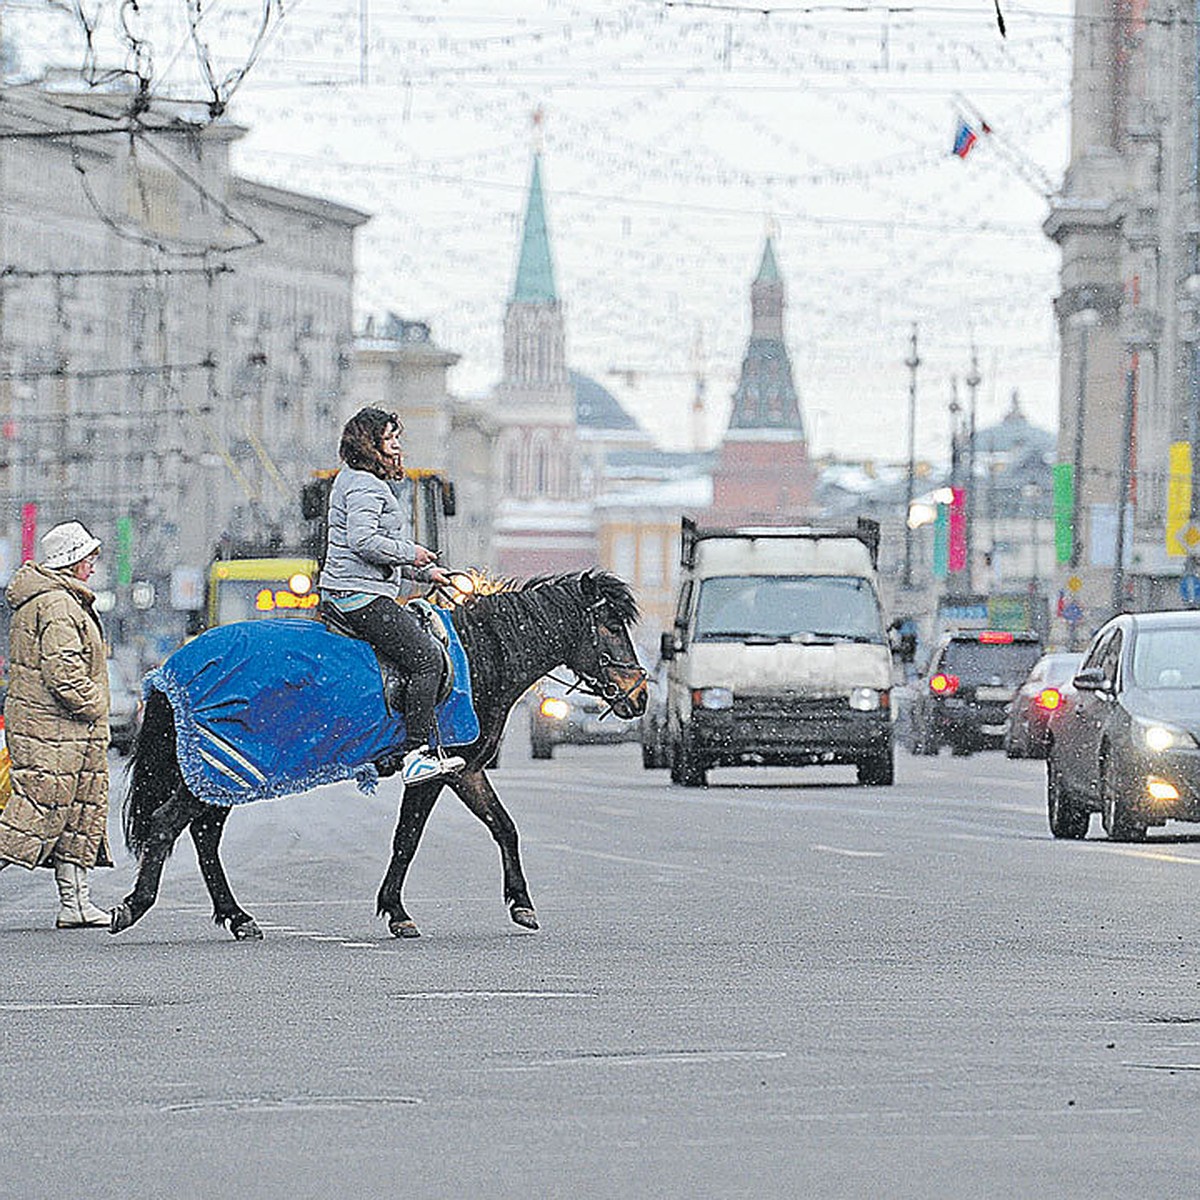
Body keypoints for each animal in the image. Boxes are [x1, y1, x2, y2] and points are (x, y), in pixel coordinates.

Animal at [114, 571, 648, 936]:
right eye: (611, 627)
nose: (640, 696)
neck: (475, 656)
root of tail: (172, 667)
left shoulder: (467, 771)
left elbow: (504, 827)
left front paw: (520, 903)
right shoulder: (435, 771)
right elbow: (407, 839)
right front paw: (397, 911)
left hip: (222, 774)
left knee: (204, 836)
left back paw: (237, 916)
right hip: (224, 767)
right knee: (166, 825)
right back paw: (134, 905)